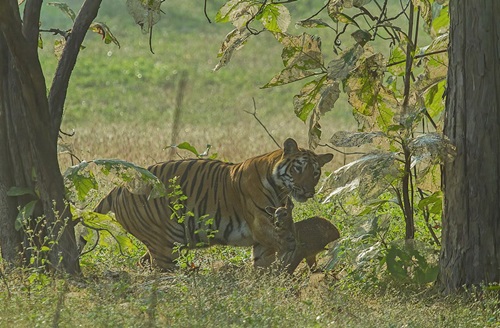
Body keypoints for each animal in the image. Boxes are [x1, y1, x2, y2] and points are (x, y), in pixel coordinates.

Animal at [94, 137, 334, 270]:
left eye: (315, 173)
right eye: (298, 168)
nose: (308, 191)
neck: (280, 188)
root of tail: (119, 187)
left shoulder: (264, 239)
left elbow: (263, 265)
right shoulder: (262, 225)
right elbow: (286, 246)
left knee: (143, 262)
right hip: (166, 246)